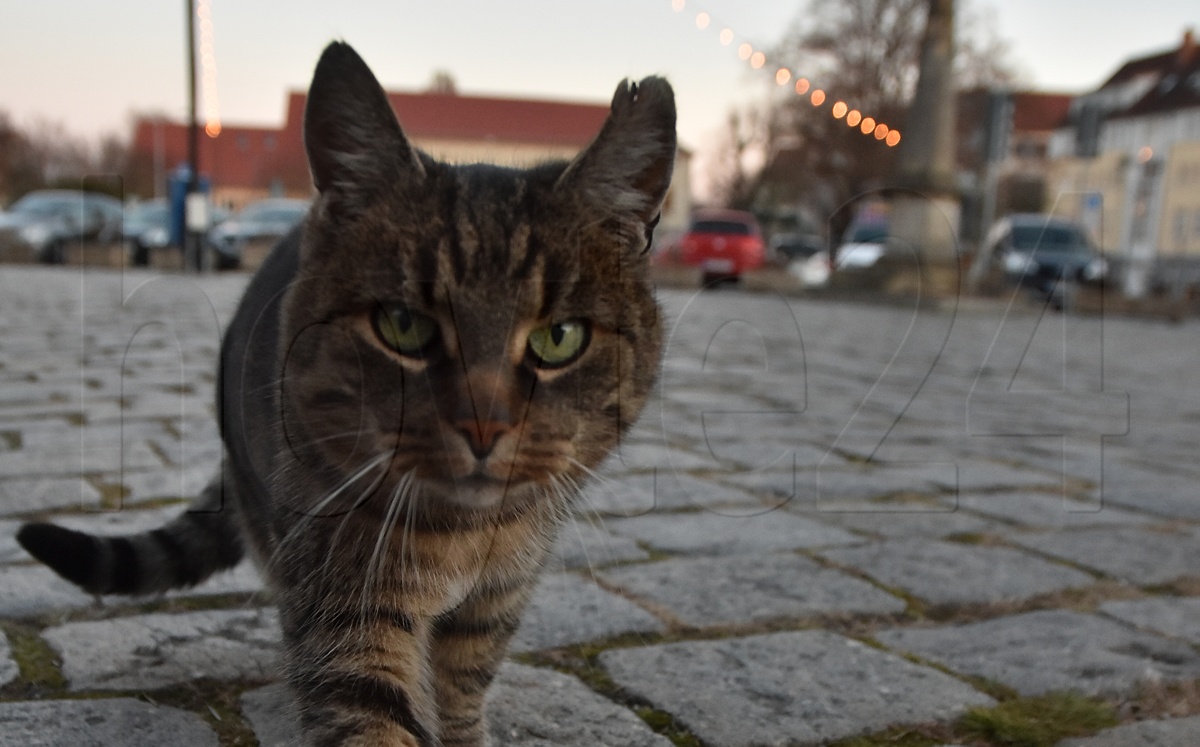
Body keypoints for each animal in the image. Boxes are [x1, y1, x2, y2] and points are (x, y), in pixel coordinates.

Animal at [18, 42, 676, 747]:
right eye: (403, 325)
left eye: (560, 337)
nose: (482, 426)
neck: (465, 535)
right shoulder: (347, 610)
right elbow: (370, 713)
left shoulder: (491, 607)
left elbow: (462, 694)